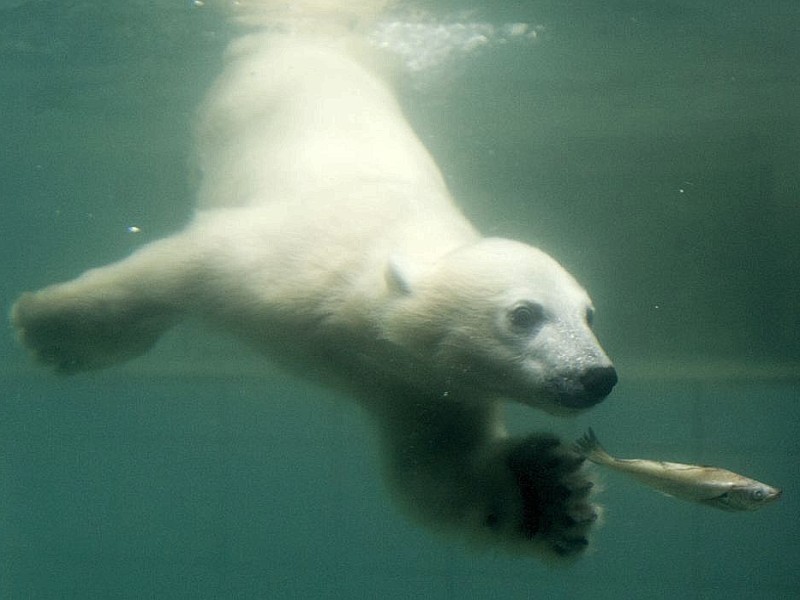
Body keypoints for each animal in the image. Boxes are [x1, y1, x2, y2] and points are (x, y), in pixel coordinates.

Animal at [7, 1, 620, 564]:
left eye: (588, 314)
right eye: (523, 314)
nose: (597, 376)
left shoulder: (418, 384)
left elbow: (436, 471)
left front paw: (548, 494)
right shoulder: (290, 263)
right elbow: (188, 260)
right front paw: (55, 333)